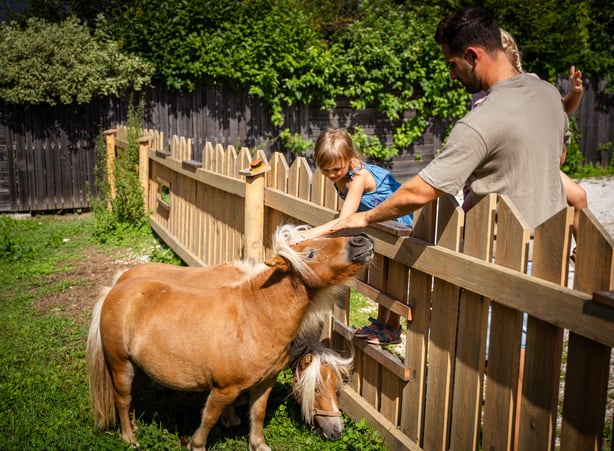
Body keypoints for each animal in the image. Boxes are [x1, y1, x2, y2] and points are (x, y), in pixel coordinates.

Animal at [88, 226, 376, 451]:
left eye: (337, 387)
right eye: (310, 253)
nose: (361, 240)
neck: (256, 317)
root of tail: (116, 288)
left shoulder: (265, 382)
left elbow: (257, 414)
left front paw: (257, 443)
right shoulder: (222, 389)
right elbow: (208, 419)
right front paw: (202, 440)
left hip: (137, 366)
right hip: (120, 364)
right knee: (122, 400)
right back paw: (129, 438)